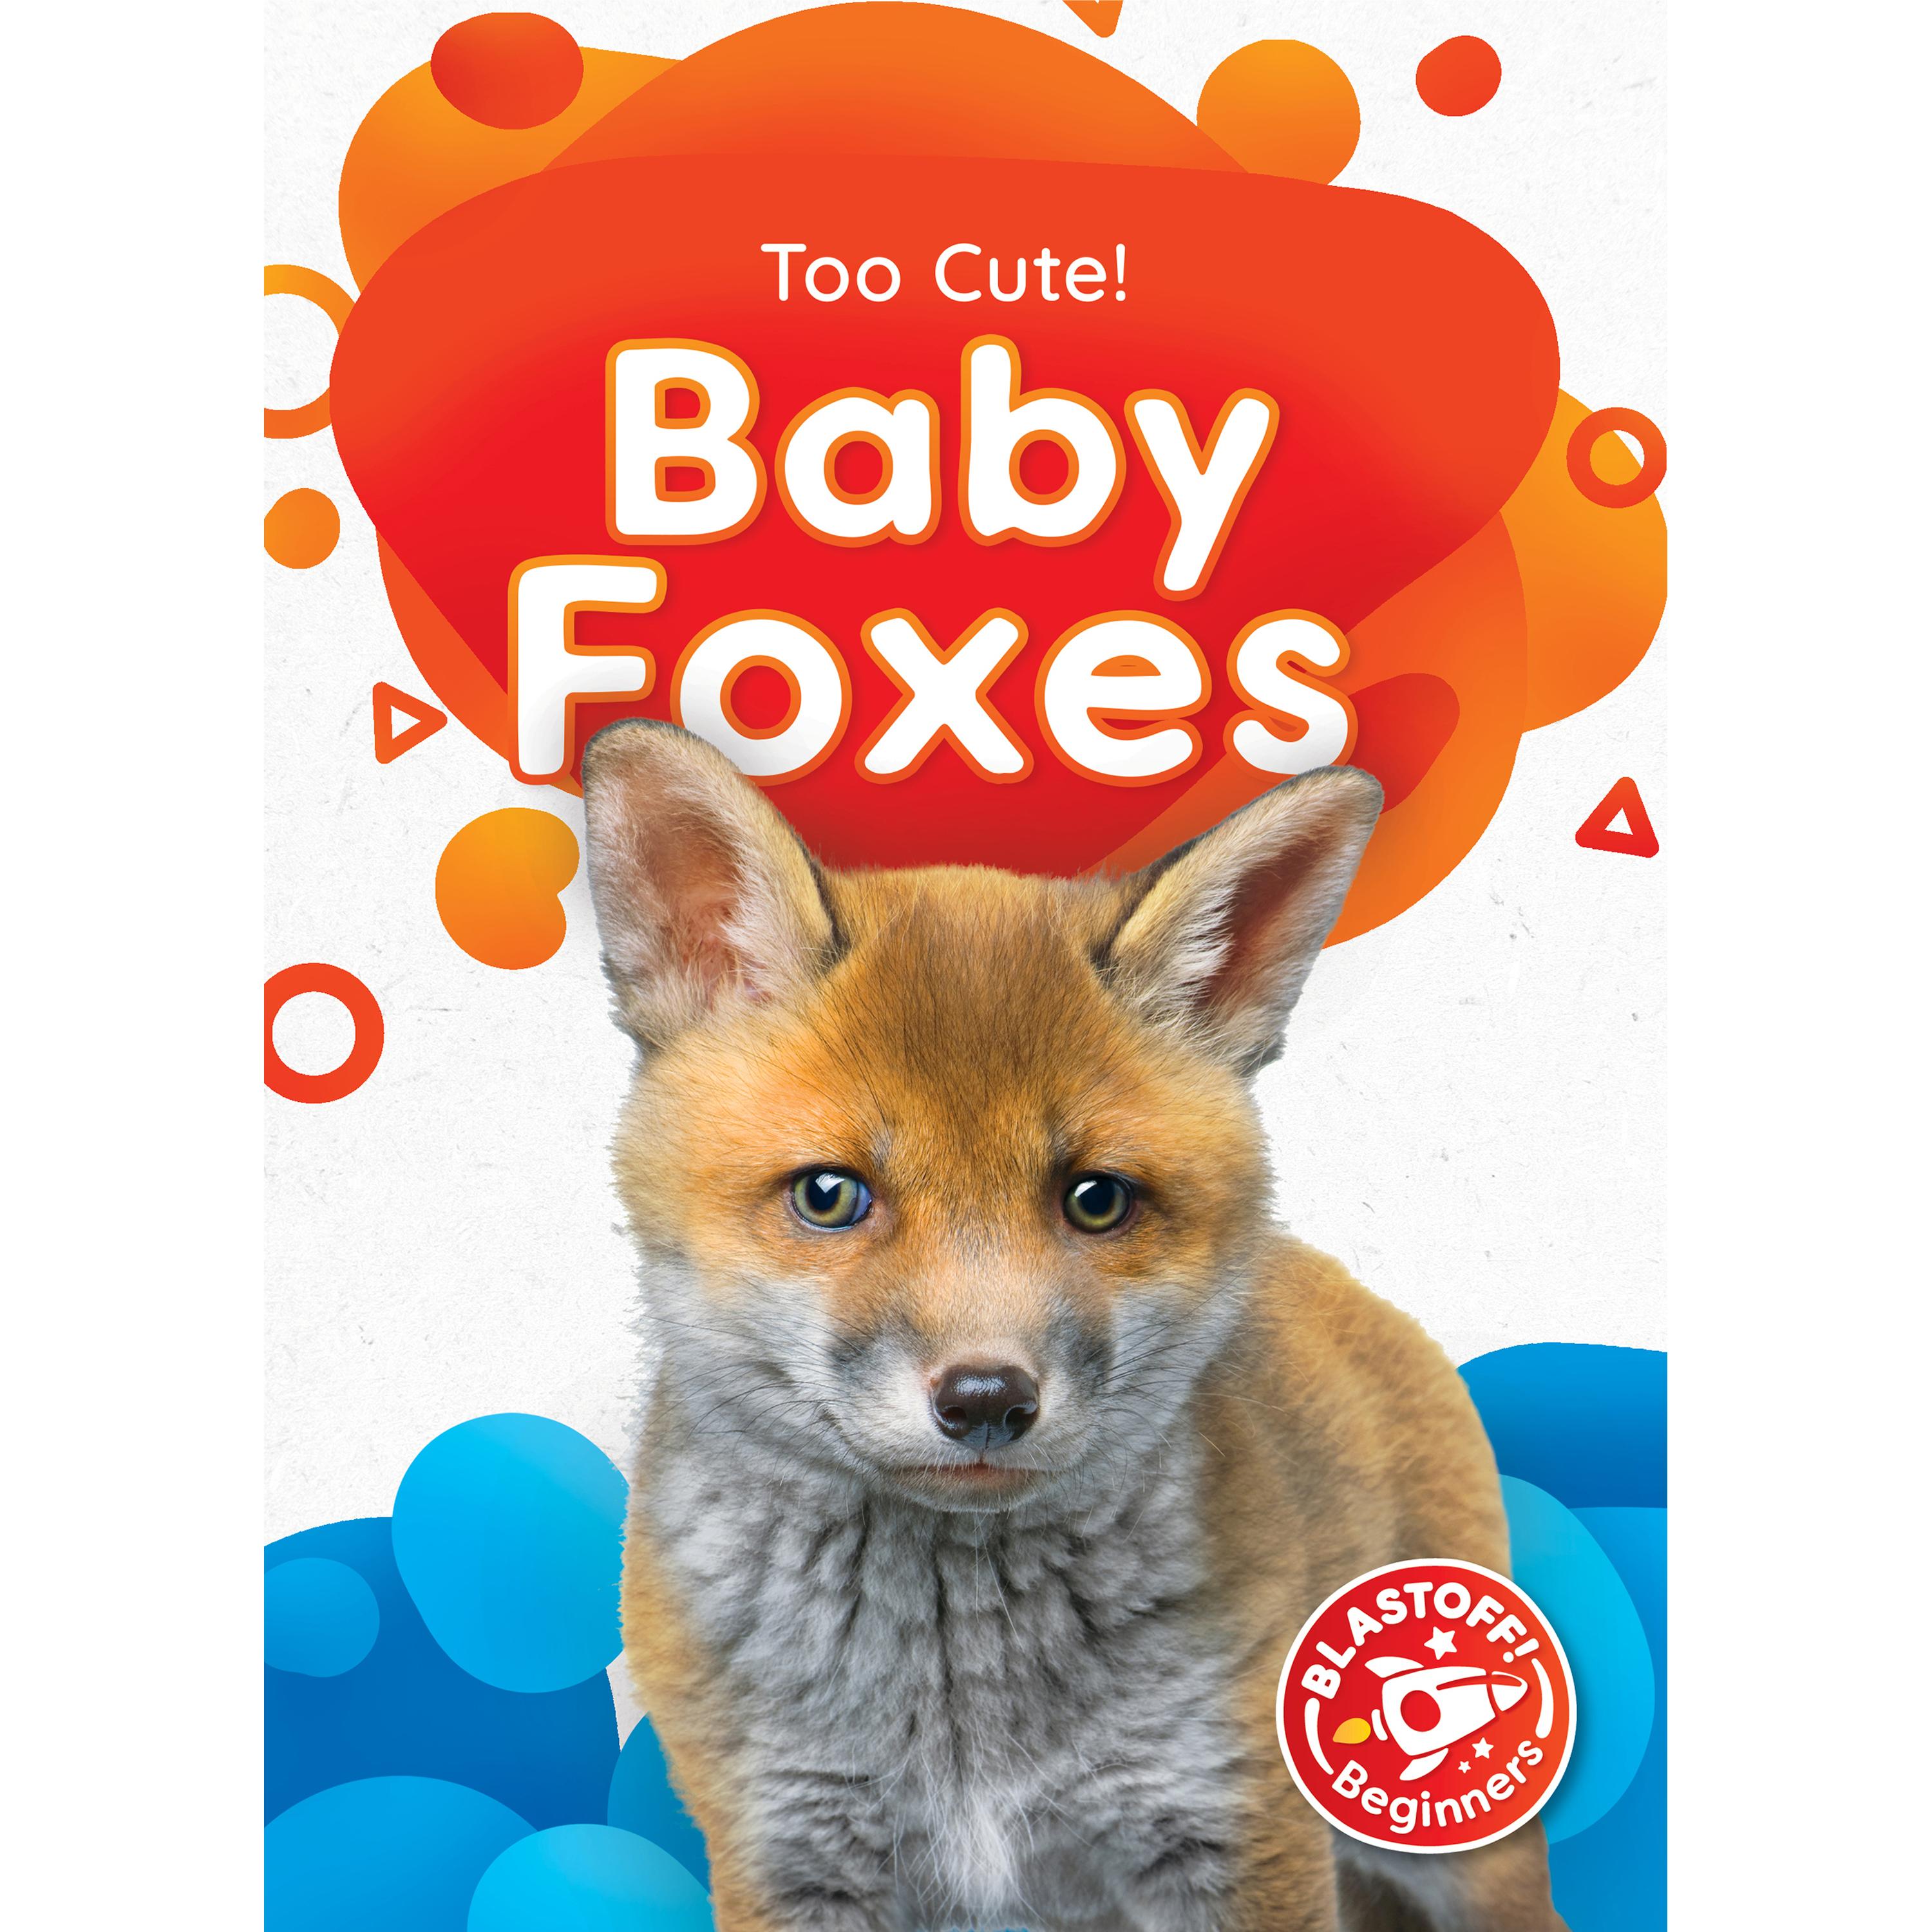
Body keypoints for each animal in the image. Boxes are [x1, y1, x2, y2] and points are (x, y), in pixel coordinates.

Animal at [579, 718, 1566, 1932]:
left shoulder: (1234, 1824)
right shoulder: (789, 1850)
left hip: (1459, 1851)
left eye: (1096, 1201)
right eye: (830, 1196)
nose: (985, 1400)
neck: (960, 1704)